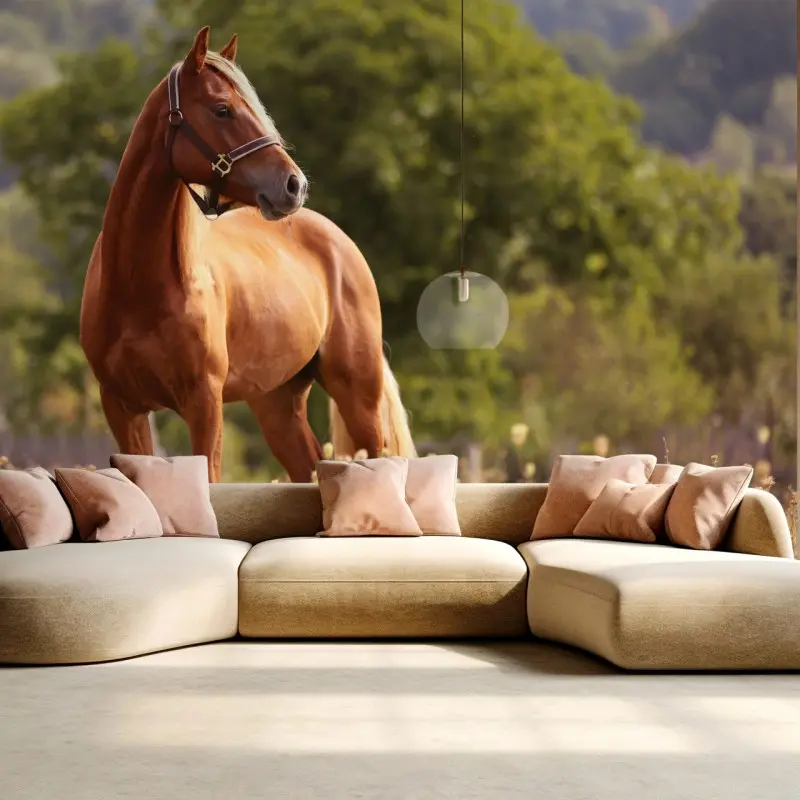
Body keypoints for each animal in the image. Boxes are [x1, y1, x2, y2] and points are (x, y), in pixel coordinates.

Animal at [80, 26, 416, 483]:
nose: (294, 185)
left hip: (358, 395)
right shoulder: (122, 407)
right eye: (222, 109)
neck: (139, 287)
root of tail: (339, 242)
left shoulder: (204, 403)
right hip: (276, 402)